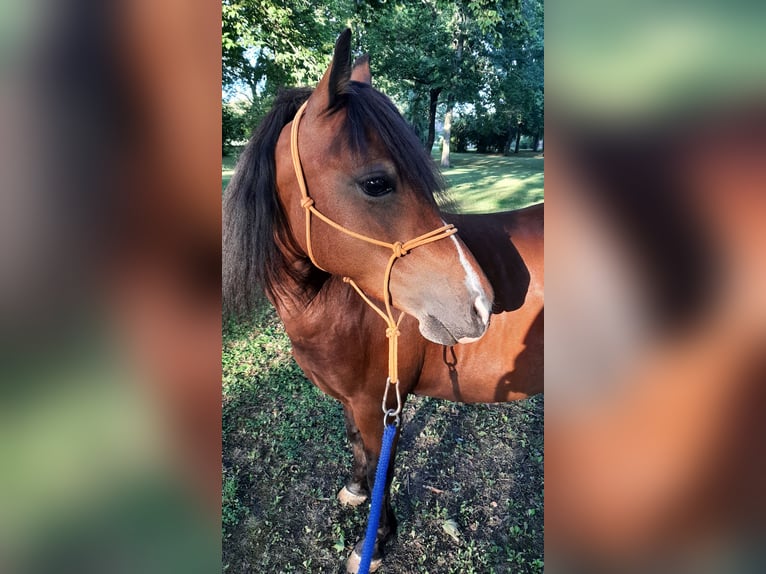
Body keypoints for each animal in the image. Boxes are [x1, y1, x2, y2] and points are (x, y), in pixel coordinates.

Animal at [223, 29, 543, 573]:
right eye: (377, 183)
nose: (481, 303)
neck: (338, 305)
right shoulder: (352, 401)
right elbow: (357, 448)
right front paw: (355, 491)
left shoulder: (380, 403)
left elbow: (381, 466)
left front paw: (374, 541)